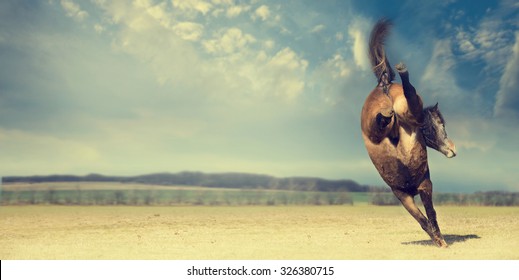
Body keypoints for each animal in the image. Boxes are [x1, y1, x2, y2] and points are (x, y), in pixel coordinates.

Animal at [360, 19, 458, 247]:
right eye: (439, 124)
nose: (452, 149)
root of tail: (384, 85)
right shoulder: (420, 188)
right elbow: (428, 216)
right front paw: (441, 242)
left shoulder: (405, 195)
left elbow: (423, 219)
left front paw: (438, 240)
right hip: (407, 114)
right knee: (411, 99)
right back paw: (402, 73)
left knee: (382, 122)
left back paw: (386, 113)